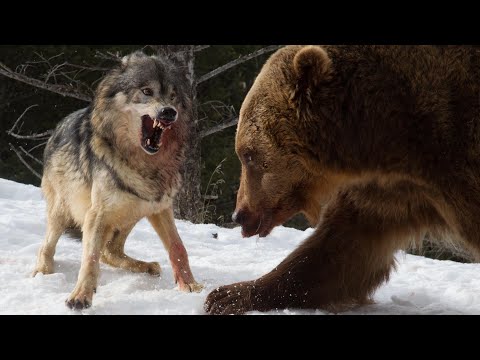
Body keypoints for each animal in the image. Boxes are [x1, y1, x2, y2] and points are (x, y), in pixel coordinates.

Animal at [32, 50, 202, 310]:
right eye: (146, 91)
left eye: (173, 96)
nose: (169, 112)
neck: (143, 164)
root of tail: (56, 129)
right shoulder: (97, 214)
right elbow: (90, 258)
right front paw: (80, 296)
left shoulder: (160, 207)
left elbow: (178, 247)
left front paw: (190, 285)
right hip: (64, 211)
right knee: (48, 247)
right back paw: (43, 272)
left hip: (133, 211)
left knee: (110, 252)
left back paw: (147, 266)